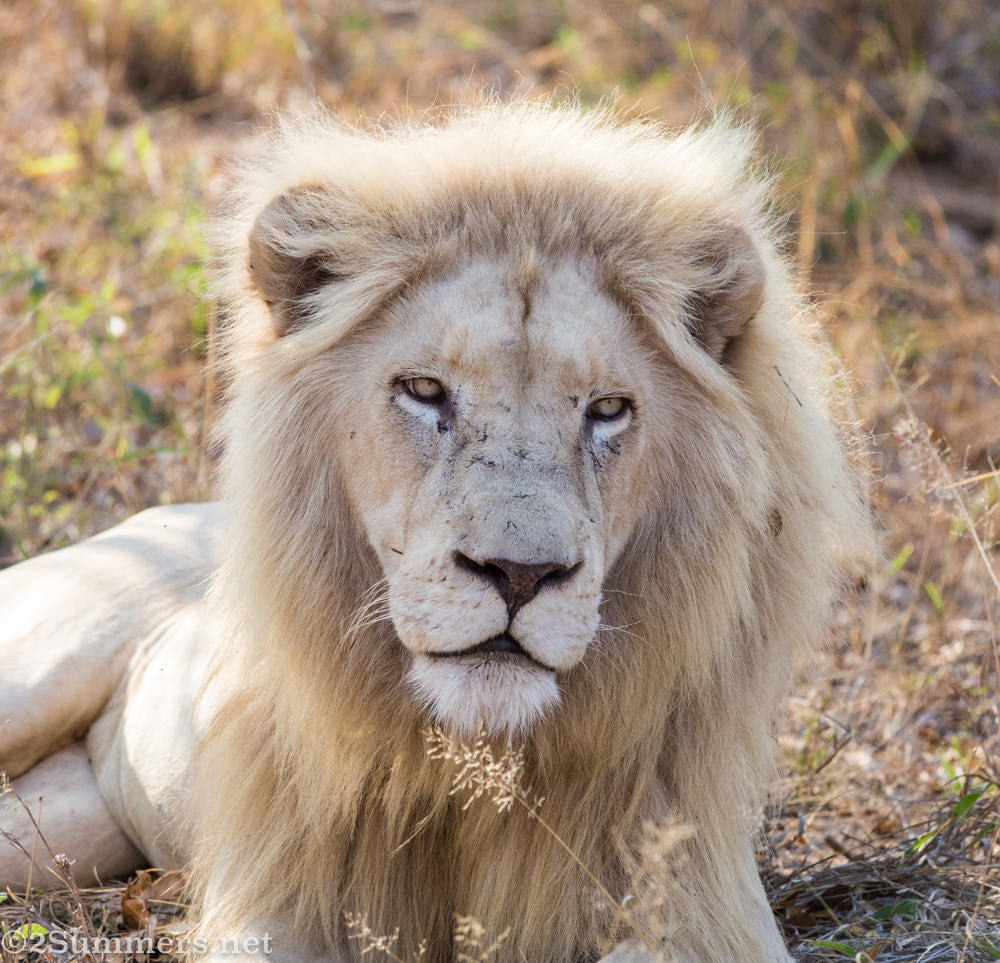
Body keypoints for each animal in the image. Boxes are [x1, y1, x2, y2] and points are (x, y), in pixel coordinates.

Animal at [0, 102, 867, 962]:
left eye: (608, 409)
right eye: (424, 390)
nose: (520, 573)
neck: (474, 770)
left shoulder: (702, 904)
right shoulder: (278, 900)